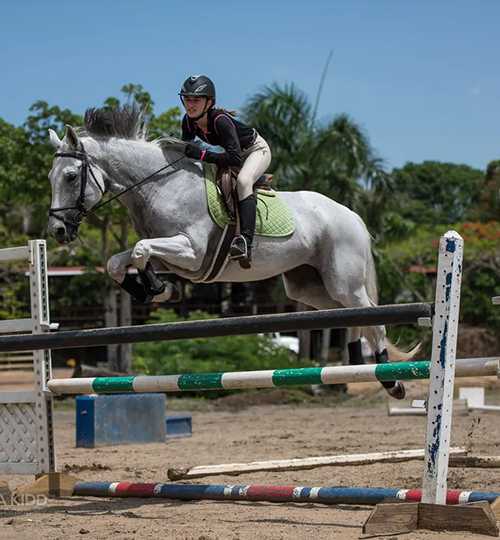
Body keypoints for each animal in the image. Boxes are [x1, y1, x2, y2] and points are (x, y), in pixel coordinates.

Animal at [47, 107, 416, 398]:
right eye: (51, 177)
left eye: (71, 176)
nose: (57, 231)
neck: (160, 186)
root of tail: (352, 214)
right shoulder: (173, 254)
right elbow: (119, 262)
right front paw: (161, 290)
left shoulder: (191, 252)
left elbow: (140, 251)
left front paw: (159, 289)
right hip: (310, 288)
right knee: (350, 316)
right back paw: (359, 365)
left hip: (343, 280)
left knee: (373, 320)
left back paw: (391, 381)